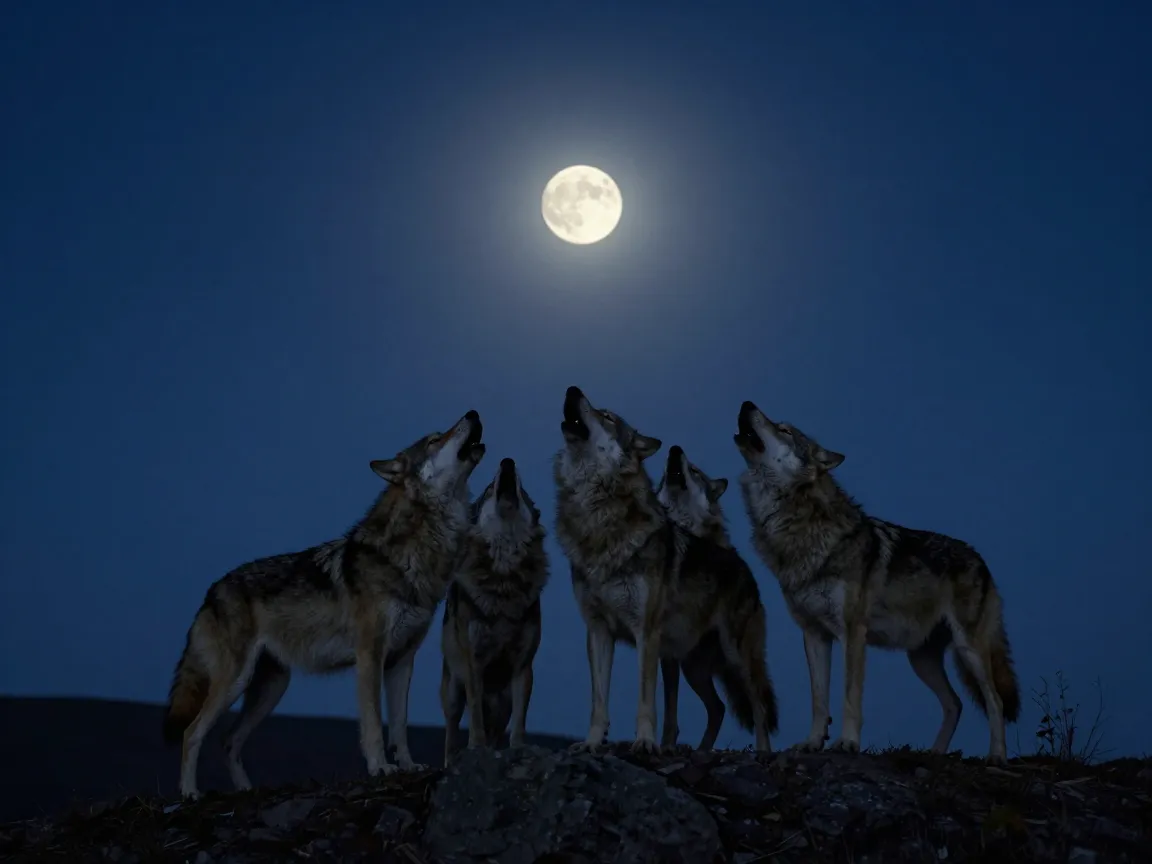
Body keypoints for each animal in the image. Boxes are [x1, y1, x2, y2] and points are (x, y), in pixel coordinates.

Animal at [163, 410, 486, 798]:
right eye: (436, 439)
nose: (473, 413)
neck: (414, 552)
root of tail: (211, 591)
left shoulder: (402, 660)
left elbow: (400, 724)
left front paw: (408, 765)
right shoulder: (370, 657)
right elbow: (374, 723)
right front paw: (380, 768)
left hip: (271, 689)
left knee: (229, 740)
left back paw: (246, 791)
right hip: (235, 682)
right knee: (191, 733)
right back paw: (189, 793)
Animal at [440, 457, 549, 766]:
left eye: (522, 489)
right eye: (489, 487)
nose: (507, 462)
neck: (504, 579)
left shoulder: (523, 667)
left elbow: (521, 722)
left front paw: (518, 749)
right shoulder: (473, 664)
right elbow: (474, 715)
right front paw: (475, 748)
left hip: (503, 702)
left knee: (496, 729)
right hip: (453, 692)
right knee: (451, 730)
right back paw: (451, 761)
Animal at [553, 385, 670, 753]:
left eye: (606, 416)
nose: (572, 388)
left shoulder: (646, 631)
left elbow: (645, 698)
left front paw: (645, 742)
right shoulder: (598, 630)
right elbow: (599, 700)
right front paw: (592, 743)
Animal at [655, 445, 779, 752]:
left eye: (694, 470)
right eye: (662, 476)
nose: (674, 448)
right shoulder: (667, 652)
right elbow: (670, 711)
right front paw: (665, 747)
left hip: (736, 657)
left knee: (758, 704)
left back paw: (763, 751)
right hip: (694, 668)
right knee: (719, 708)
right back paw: (702, 751)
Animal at [734, 400, 1020, 762]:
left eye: (784, 429)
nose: (747, 403)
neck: (799, 527)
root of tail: (981, 560)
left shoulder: (852, 633)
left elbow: (849, 696)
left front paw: (847, 743)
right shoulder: (814, 634)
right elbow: (818, 700)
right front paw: (813, 742)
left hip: (969, 650)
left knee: (995, 701)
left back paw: (997, 756)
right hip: (921, 660)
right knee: (954, 704)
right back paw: (934, 754)